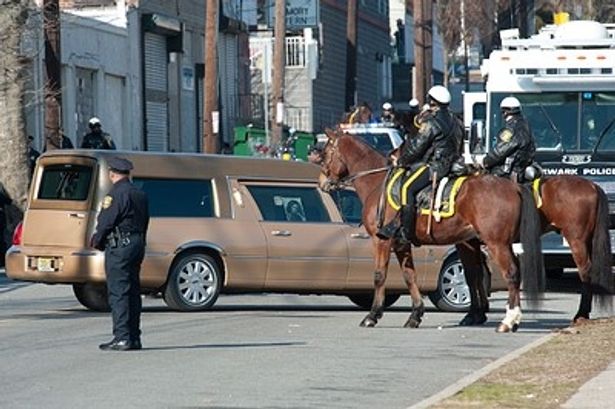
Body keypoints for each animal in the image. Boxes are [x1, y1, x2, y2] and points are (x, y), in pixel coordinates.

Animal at [320, 129, 548, 330]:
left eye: (325, 153)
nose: (322, 182)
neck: (376, 184)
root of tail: (514, 186)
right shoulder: (402, 243)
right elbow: (410, 276)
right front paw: (416, 315)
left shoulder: (381, 240)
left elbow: (379, 275)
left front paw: (373, 315)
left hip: (496, 243)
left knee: (511, 274)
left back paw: (509, 320)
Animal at [464, 175, 612, 326]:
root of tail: (592, 185)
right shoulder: (474, 244)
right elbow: (478, 275)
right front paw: (481, 311)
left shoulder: (467, 243)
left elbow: (470, 276)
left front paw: (472, 314)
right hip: (588, 240)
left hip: (577, 240)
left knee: (584, 271)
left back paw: (581, 314)